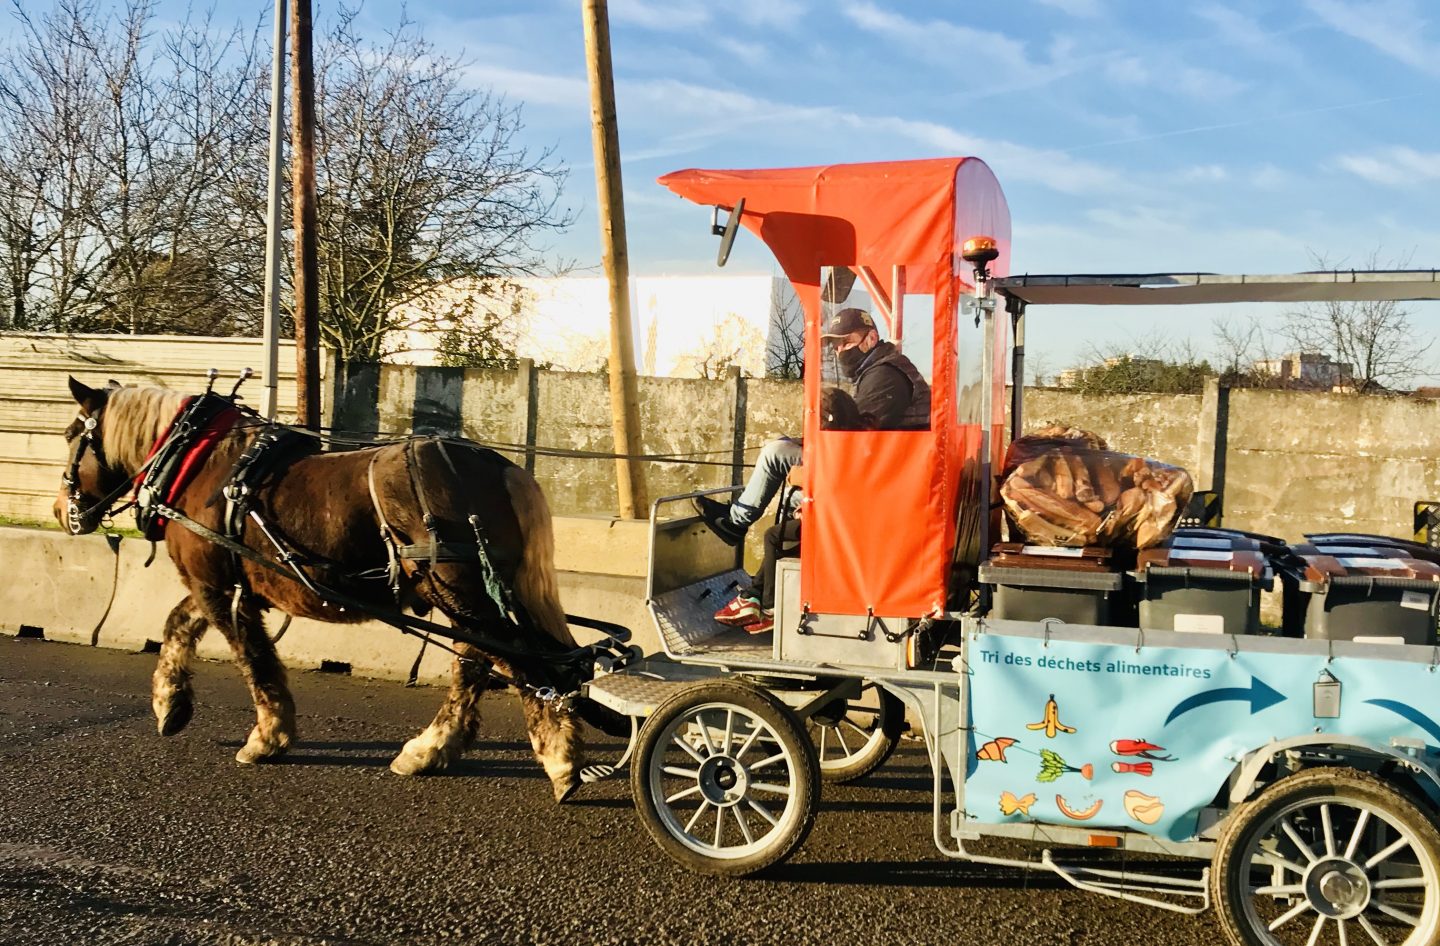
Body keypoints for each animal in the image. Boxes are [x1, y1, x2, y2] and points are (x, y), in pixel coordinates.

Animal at [53, 374, 587, 794]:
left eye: (71, 435)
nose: (61, 511)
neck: (198, 464)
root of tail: (501, 469)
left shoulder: (217, 587)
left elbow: (253, 660)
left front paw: (267, 738)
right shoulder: (222, 582)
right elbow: (178, 623)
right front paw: (170, 703)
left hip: (459, 592)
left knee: (513, 660)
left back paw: (557, 757)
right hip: (468, 598)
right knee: (480, 663)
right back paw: (432, 749)